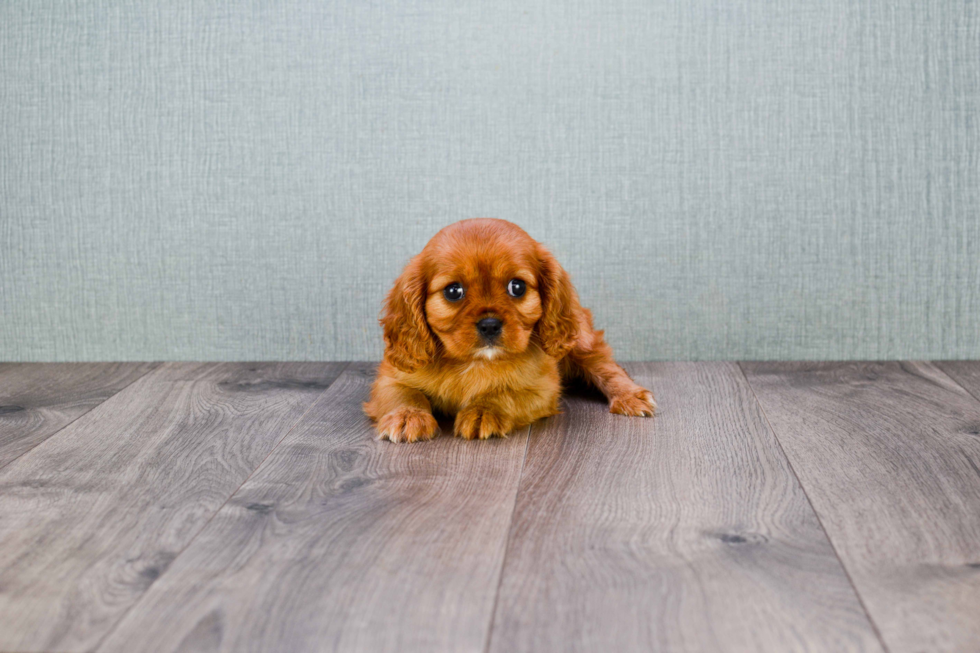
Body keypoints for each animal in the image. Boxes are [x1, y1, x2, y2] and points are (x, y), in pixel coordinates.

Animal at [364, 219, 656, 444]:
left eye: (517, 287)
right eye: (453, 291)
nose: (490, 324)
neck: (475, 363)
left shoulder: (541, 388)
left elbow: (505, 394)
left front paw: (483, 411)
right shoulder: (390, 377)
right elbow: (404, 393)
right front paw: (407, 416)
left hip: (582, 343)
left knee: (607, 368)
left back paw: (630, 396)